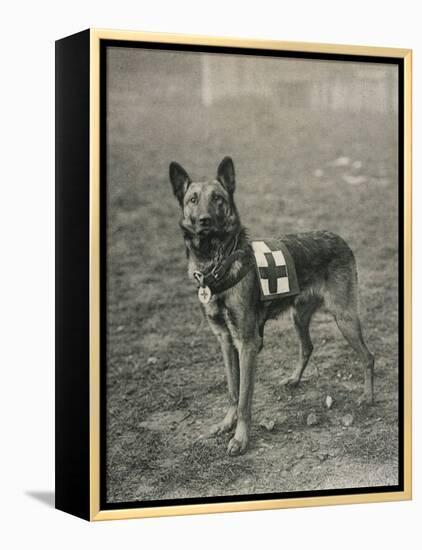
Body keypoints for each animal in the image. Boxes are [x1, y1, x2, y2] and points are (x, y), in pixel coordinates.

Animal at [168, 156, 372, 458]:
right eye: (193, 199)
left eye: (218, 198)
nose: (204, 220)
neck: (217, 263)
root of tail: (338, 238)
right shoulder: (226, 341)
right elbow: (232, 390)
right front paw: (226, 424)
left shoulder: (247, 343)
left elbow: (244, 398)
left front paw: (240, 438)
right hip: (299, 316)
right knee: (307, 347)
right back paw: (295, 379)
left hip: (344, 317)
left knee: (368, 357)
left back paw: (368, 396)